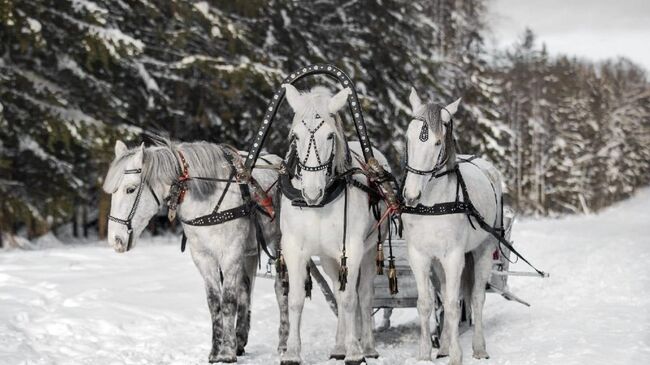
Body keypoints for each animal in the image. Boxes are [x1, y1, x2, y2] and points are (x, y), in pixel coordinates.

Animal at [103, 139, 286, 362]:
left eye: (130, 189)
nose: (115, 240)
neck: (209, 204)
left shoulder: (231, 254)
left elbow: (228, 302)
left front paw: (227, 352)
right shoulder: (203, 258)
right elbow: (214, 303)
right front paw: (216, 351)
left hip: (278, 243)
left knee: (281, 287)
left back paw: (283, 341)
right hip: (249, 252)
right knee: (245, 290)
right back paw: (241, 340)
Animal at [276, 84, 388, 364]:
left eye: (329, 136)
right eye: (295, 137)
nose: (312, 192)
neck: (318, 207)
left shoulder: (353, 248)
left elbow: (350, 299)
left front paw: (355, 352)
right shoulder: (294, 249)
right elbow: (296, 300)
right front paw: (292, 352)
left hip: (370, 249)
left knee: (364, 296)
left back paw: (367, 346)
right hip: (329, 258)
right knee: (337, 291)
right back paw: (338, 347)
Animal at [400, 89, 502, 364]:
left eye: (437, 143)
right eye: (408, 138)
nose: (411, 195)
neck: (432, 204)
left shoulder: (455, 257)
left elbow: (456, 306)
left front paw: (457, 355)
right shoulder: (419, 256)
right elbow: (426, 304)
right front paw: (425, 354)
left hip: (483, 249)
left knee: (476, 298)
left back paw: (478, 347)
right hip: (438, 262)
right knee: (445, 296)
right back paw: (443, 346)